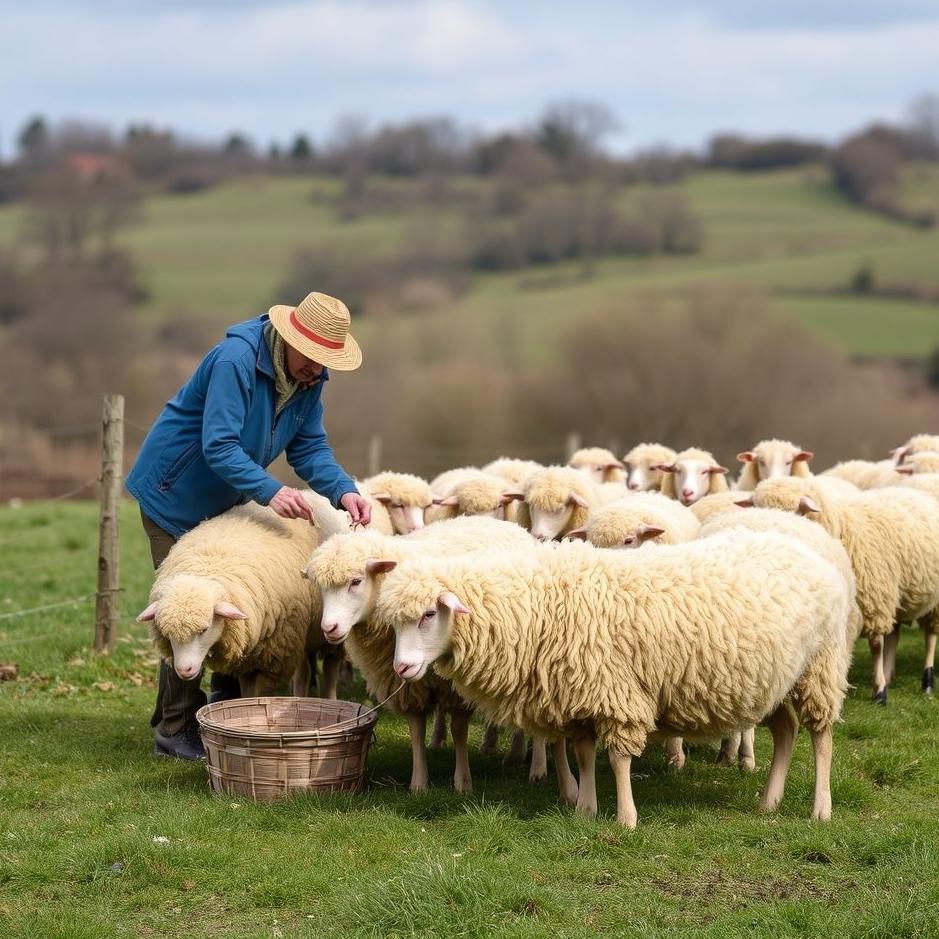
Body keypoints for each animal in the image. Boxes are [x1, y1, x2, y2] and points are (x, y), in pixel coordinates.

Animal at [138, 492, 350, 698]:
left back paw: (328, 696)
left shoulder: (276, 654)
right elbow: (247, 691)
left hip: (330, 634)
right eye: (167, 633)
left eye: (204, 629)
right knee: (306, 670)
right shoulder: (247, 659)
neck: (208, 565)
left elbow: (264, 693)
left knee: (329, 668)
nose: (184, 671)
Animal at [300, 517, 573, 795]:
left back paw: (534, 765)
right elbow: (416, 729)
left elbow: (460, 730)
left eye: (356, 581)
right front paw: (419, 783)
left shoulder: (456, 689)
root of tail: (503, 522)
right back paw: (481, 744)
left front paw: (463, 782)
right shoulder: (408, 685)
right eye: (320, 587)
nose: (329, 628)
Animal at [379, 531, 850, 827]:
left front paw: (626, 819)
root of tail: (806, 552)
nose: (402, 668)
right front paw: (585, 810)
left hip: (820, 667)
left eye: (428, 614)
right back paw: (769, 802)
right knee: (787, 731)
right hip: (778, 681)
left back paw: (821, 809)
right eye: (395, 623)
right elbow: (585, 755)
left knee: (822, 738)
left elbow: (620, 759)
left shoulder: (615, 693)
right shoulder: (581, 696)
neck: (535, 606)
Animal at [749, 476, 939, 700]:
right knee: (895, 633)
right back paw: (889, 672)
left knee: (930, 635)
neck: (841, 527)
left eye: (793, 510)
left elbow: (876, 645)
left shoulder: (875, 598)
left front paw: (879, 691)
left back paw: (927, 681)